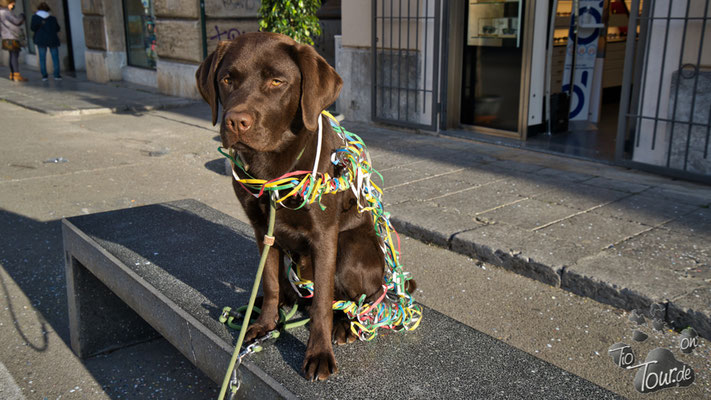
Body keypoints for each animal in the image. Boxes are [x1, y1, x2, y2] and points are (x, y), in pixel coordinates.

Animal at [195, 32, 386, 380]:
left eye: (276, 81)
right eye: (227, 79)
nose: (235, 122)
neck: (273, 168)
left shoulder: (325, 235)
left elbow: (323, 300)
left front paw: (319, 352)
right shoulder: (262, 230)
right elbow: (270, 281)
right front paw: (265, 325)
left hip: (350, 249)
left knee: (356, 301)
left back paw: (345, 326)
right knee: (288, 288)